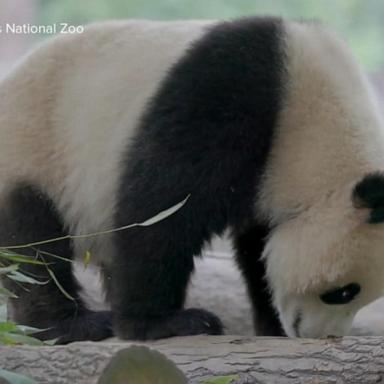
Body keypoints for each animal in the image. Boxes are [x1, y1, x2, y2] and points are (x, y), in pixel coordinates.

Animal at [0, 16, 384, 344]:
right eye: (343, 292)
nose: (322, 335)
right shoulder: (227, 97)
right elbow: (161, 207)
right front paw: (162, 324)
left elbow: (256, 248)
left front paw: (271, 324)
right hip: (35, 148)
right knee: (33, 247)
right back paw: (69, 325)